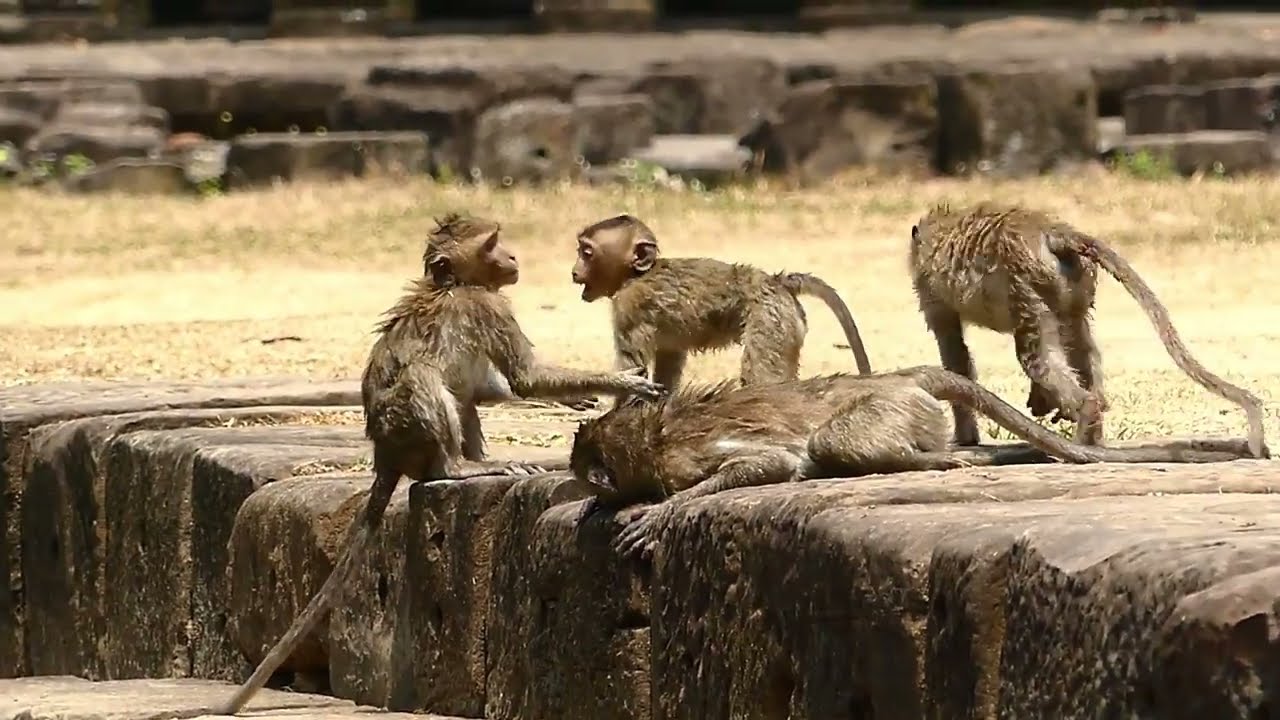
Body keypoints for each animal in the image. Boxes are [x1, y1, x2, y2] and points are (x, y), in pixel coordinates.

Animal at [217, 213, 665, 715]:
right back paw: (461, 468)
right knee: (425, 379)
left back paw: (479, 459)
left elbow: (488, 388)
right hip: (406, 431)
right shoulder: (489, 306)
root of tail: (384, 455)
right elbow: (524, 378)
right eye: (492, 244)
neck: (457, 285)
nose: (513, 256)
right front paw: (620, 382)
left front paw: (578, 397)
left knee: (462, 395)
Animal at [568, 365, 1263, 559]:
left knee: (837, 444)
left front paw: (659, 511)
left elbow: (771, 463)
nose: (585, 476)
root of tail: (902, 378)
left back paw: (937, 466)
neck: (648, 438)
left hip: (884, 408)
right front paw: (598, 505)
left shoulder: (686, 456)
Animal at [571, 214, 873, 399]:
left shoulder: (628, 307)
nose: (574, 272)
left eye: (586, 253)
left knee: (761, 378)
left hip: (770, 319)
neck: (635, 276)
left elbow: (635, 369)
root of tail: (775, 281)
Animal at [909, 201, 1268, 459]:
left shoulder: (929, 290)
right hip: (1073, 281)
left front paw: (965, 437)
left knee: (1036, 356)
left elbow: (955, 355)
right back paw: (1092, 425)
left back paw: (1084, 421)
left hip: (1024, 283)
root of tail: (1050, 231)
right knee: (1076, 338)